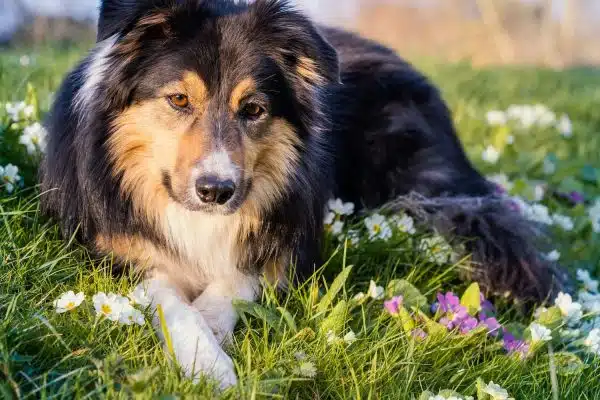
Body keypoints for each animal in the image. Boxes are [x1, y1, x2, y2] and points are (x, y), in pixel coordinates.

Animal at [39, 0, 564, 390]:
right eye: (178, 100)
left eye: (254, 109)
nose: (216, 191)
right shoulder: (115, 252)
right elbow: (171, 300)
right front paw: (206, 361)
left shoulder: (288, 239)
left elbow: (236, 279)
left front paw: (213, 329)